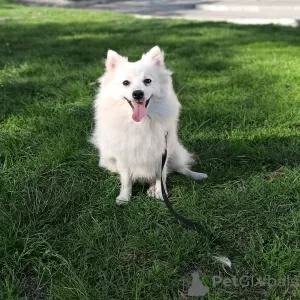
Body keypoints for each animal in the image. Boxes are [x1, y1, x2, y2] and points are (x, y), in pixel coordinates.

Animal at [91, 45, 207, 204]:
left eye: (147, 81)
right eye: (125, 83)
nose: (138, 93)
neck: (141, 123)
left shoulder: (161, 153)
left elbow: (161, 176)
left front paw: (161, 193)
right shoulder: (124, 156)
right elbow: (126, 180)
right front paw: (124, 197)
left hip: (175, 153)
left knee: (180, 168)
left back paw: (196, 176)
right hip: (109, 160)